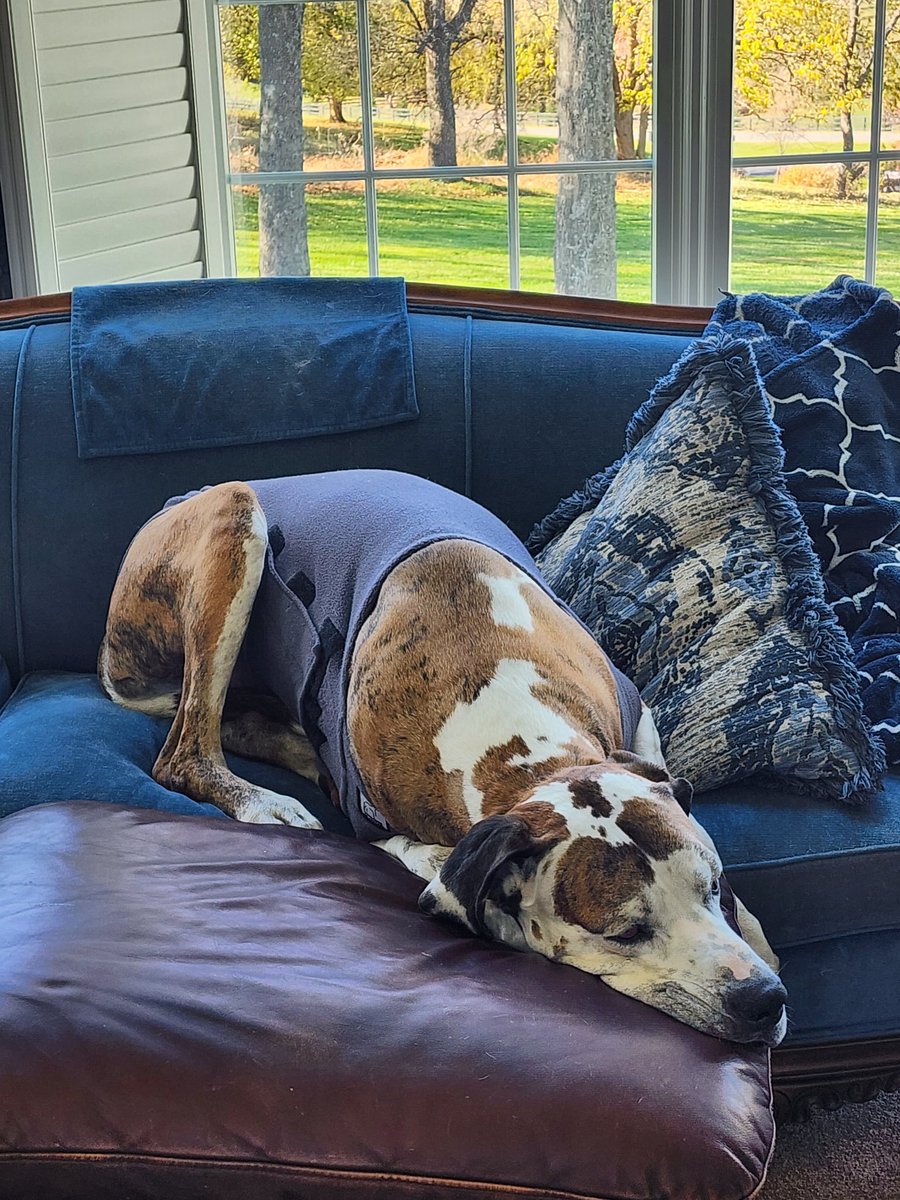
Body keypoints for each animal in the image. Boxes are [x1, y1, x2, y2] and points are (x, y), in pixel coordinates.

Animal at [100, 463, 787, 1046]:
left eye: (713, 885)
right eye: (626, 932)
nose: (763, 1000)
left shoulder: (636, 717)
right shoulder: (382, 827)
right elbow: (436, 864)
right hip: (235, 515)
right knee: (185, 749)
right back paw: (265, 802)